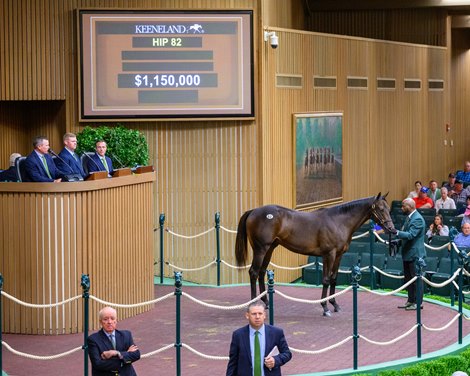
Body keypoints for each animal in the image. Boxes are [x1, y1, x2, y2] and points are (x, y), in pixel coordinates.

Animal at [235, 192, 396, 316]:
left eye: (388, 208)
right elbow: (326, 279)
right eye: (380, 208)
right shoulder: (329, 255)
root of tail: (254, 211)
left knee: (262, 272)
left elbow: (334, 278)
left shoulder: (338, 255)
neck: (338, 221)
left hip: (269, 249)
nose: (392, 230)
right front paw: (325, 307)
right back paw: (253, 303)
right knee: (253, 272)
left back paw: (266, 303)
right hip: (260, 249)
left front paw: (334, 304)